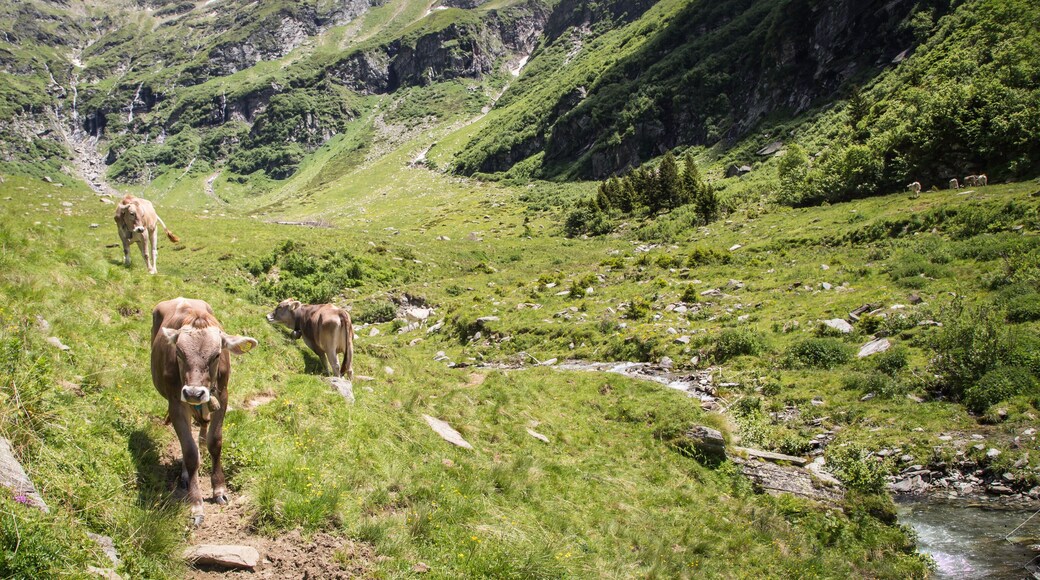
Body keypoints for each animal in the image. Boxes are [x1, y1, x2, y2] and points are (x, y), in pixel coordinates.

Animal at [151, 298, 257, 525]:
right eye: (179, 353)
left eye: (216, 355)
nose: (193, 392)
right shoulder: (176, 402)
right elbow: (190, 452)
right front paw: (196, 503)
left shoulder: (222, 396)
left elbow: (214, 442)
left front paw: (219, 489)